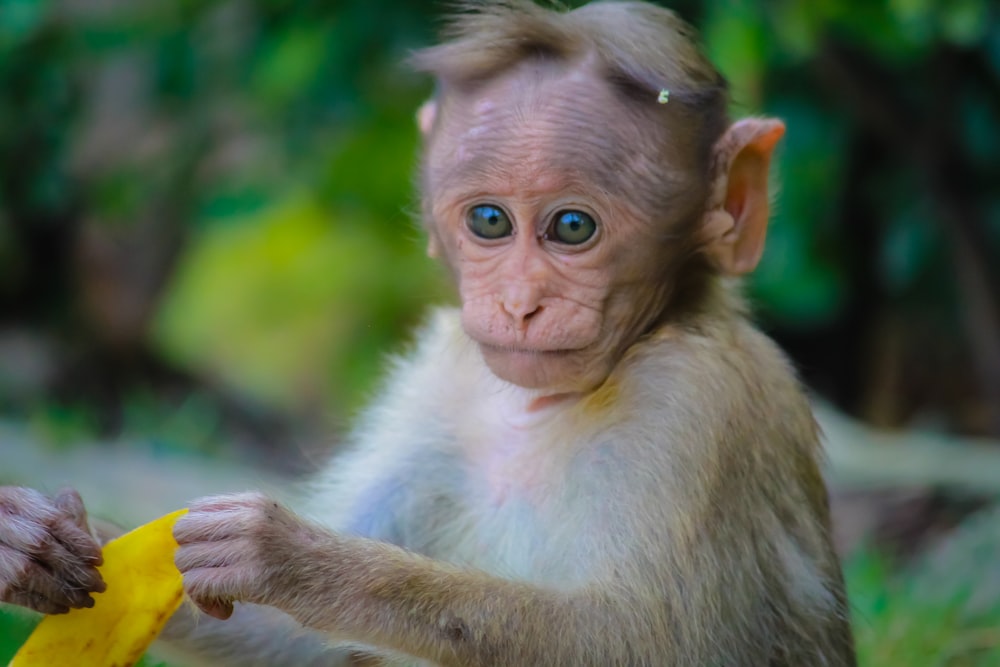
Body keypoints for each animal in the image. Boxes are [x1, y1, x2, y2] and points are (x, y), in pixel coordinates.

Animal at [1, 2, 860, 664]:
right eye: (489, 221)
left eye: (572, 227)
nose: (518, 303)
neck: (545, 406)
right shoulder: (447, 376)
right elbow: (295, 642)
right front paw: (26, 540)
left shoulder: (697, 404)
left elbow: (645, 640)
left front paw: (299, 558)